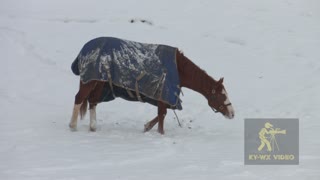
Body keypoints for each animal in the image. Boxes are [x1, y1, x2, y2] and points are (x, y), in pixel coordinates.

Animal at [69, 37, 235, 134]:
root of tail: (85, 48)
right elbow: (162, 115)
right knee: (79, 98)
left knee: (93, 101)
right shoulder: (164, 92)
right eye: (221, 96)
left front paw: (147, 126)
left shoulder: (164, 96)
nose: (232, 113)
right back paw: (73, 126)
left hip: (100, 82)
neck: (179, 68)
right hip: (89, 81)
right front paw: (159, 134)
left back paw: (93, 127)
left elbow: (162, 113)